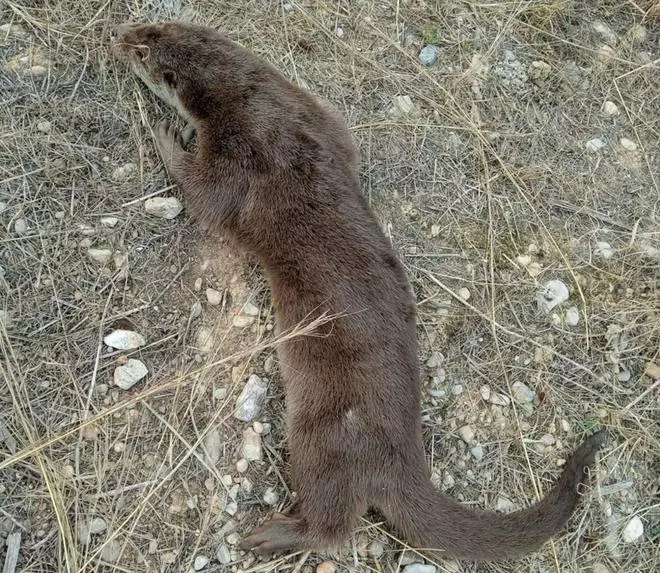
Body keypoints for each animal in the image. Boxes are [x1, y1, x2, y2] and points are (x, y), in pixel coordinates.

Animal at [111, 21, 604, 560]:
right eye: (154, 26)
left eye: (143, 51)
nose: (119, 35)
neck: (250, 97)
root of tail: (401, 461)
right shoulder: (315, 115)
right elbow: (344, 139)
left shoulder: (241, 151)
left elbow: (207, 195)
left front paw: (166, 135)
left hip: (323, 436)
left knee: (332, 523)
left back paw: (271, 534)